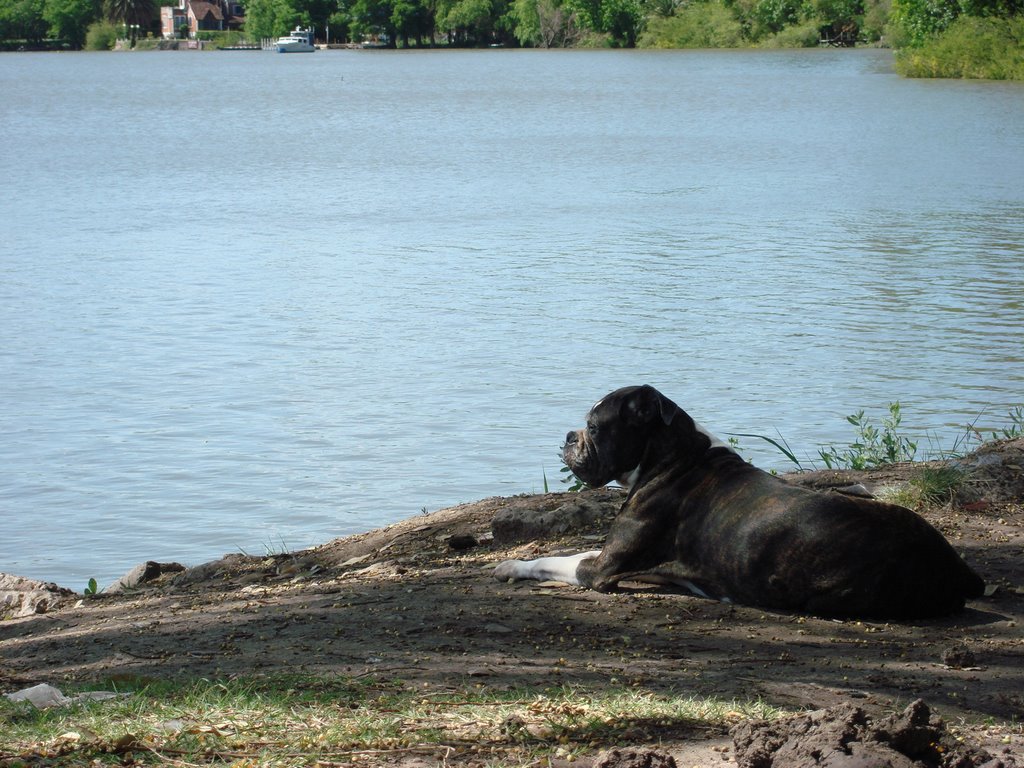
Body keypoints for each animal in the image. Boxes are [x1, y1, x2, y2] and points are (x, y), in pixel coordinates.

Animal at [495, 385, 983, 618]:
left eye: (594, 427)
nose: (568, 435)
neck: (675, 457)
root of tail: (950, 566)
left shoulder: (600, 568)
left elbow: (555, 558)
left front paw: (512, 566)